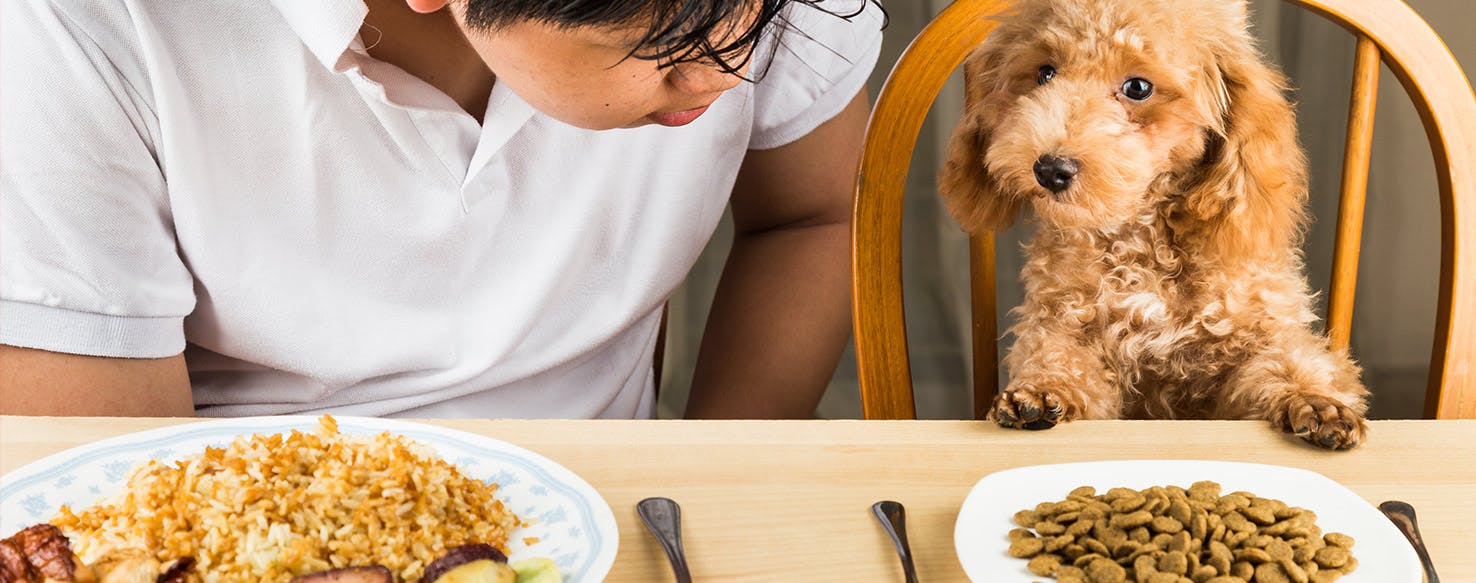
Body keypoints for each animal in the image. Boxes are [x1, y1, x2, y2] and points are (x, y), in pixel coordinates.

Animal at [938, 0, 1363, 451]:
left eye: (1138, 88)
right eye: (1045, 73)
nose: (1050, 169)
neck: (1141, 242)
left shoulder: (1258, 339)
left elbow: (1287, 363)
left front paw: (1316, 402)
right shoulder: (1063, 326)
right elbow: (1061, 360)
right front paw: (1041, 390)